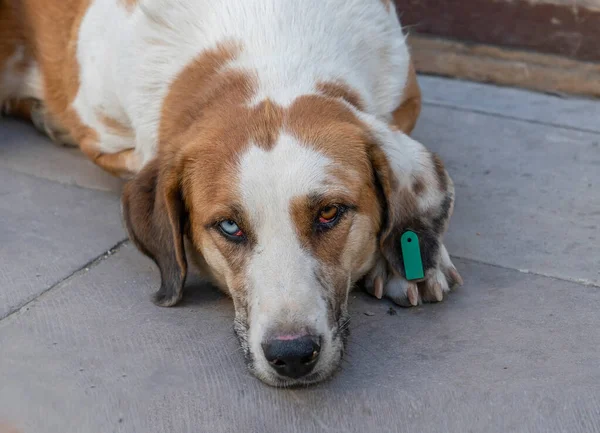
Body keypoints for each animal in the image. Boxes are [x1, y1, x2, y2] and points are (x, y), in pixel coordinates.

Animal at [0, 0, 462, 384]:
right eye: (228, 226)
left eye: (330, 213)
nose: (292, 355)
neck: (270, 41)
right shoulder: (107, 136)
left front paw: (408, 253)